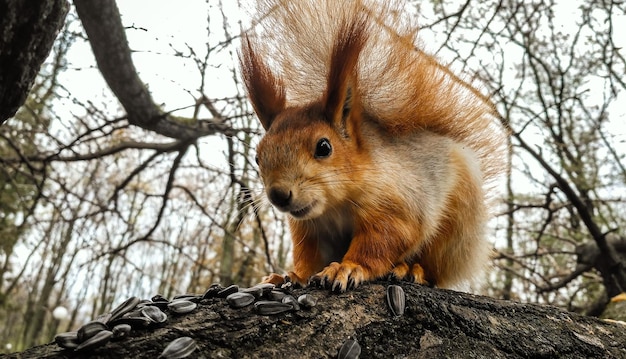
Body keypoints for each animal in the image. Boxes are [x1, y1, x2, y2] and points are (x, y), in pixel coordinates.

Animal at [239, 0, 508, 292]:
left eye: (324, 147)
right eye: (257, 157)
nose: (279, 194)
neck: (335, 205)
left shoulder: (397, 205)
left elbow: (381, 242)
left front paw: (347, 267)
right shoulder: (309, 229)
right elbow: (309, 256)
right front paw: (291, 275)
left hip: (453, 230)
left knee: (435, 271)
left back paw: (411, 269)